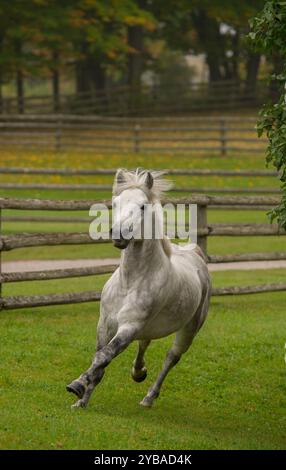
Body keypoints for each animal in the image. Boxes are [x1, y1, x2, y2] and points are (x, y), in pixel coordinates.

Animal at [66, 168, 211, 408]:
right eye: (115, 203)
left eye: (143, 206)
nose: (119, 234)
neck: (129, 282)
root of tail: (195, 253)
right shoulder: (104, 324)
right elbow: (100, 360)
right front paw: (82, 401)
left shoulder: (129, 327)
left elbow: (103, 356)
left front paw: (77, 384)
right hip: (149, 327)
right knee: (144, 343)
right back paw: (138, 372)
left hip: (189, 330)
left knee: (170, 358)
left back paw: (149, 397)